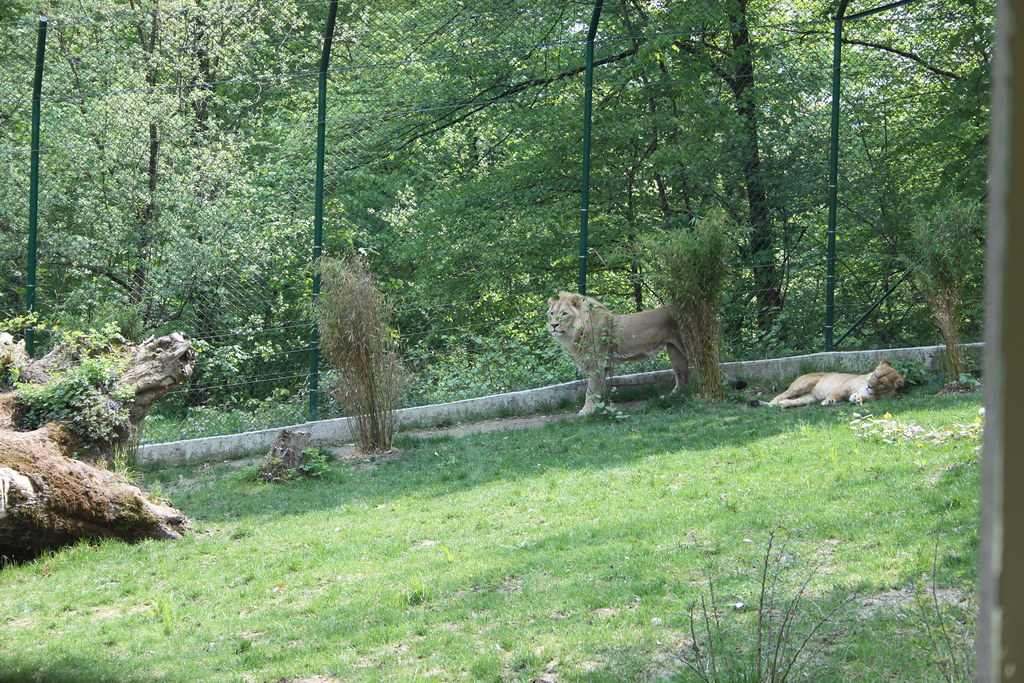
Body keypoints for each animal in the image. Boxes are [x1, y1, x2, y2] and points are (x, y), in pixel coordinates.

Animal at [544, 290, 688, 413]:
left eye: (564, 313)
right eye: (552, 313)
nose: (553, 325)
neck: (576, 332)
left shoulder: (596, 364)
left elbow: (590, 390)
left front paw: (586, 411)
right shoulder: (602, 367)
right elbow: (599, 390)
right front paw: (599, 407)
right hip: (673, 350)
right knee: (681, 375)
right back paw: (672, 395)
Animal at [761, 360, 905, 409]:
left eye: (881, 383)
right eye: (875, 375)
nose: (869, 386)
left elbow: (859, 397)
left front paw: (858, 399)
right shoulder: (844, 386)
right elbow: (835, 394)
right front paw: (828, 401)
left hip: (809, 398)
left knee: (792, 401)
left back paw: (784, 405)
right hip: (802, 385)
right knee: (779, 396)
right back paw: (772, 404)